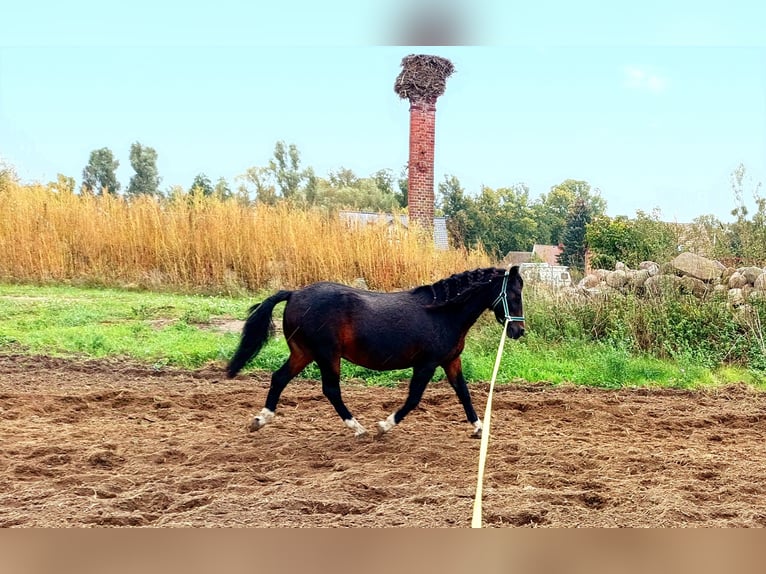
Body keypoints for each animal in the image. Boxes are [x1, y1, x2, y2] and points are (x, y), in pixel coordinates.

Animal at [228, 268, 524, 438]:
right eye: (514, 294)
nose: (518, 330)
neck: (442, 313)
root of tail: (294, 294)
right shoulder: (426, 364)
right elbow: (413, 398)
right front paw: (384, 426)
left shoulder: (451, 361)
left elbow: (463, 393)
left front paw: (479, 428)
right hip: (326, 354)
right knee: (330, 390)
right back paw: (358, 429)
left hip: (304, 353)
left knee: (279, 378)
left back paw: (260, 420)